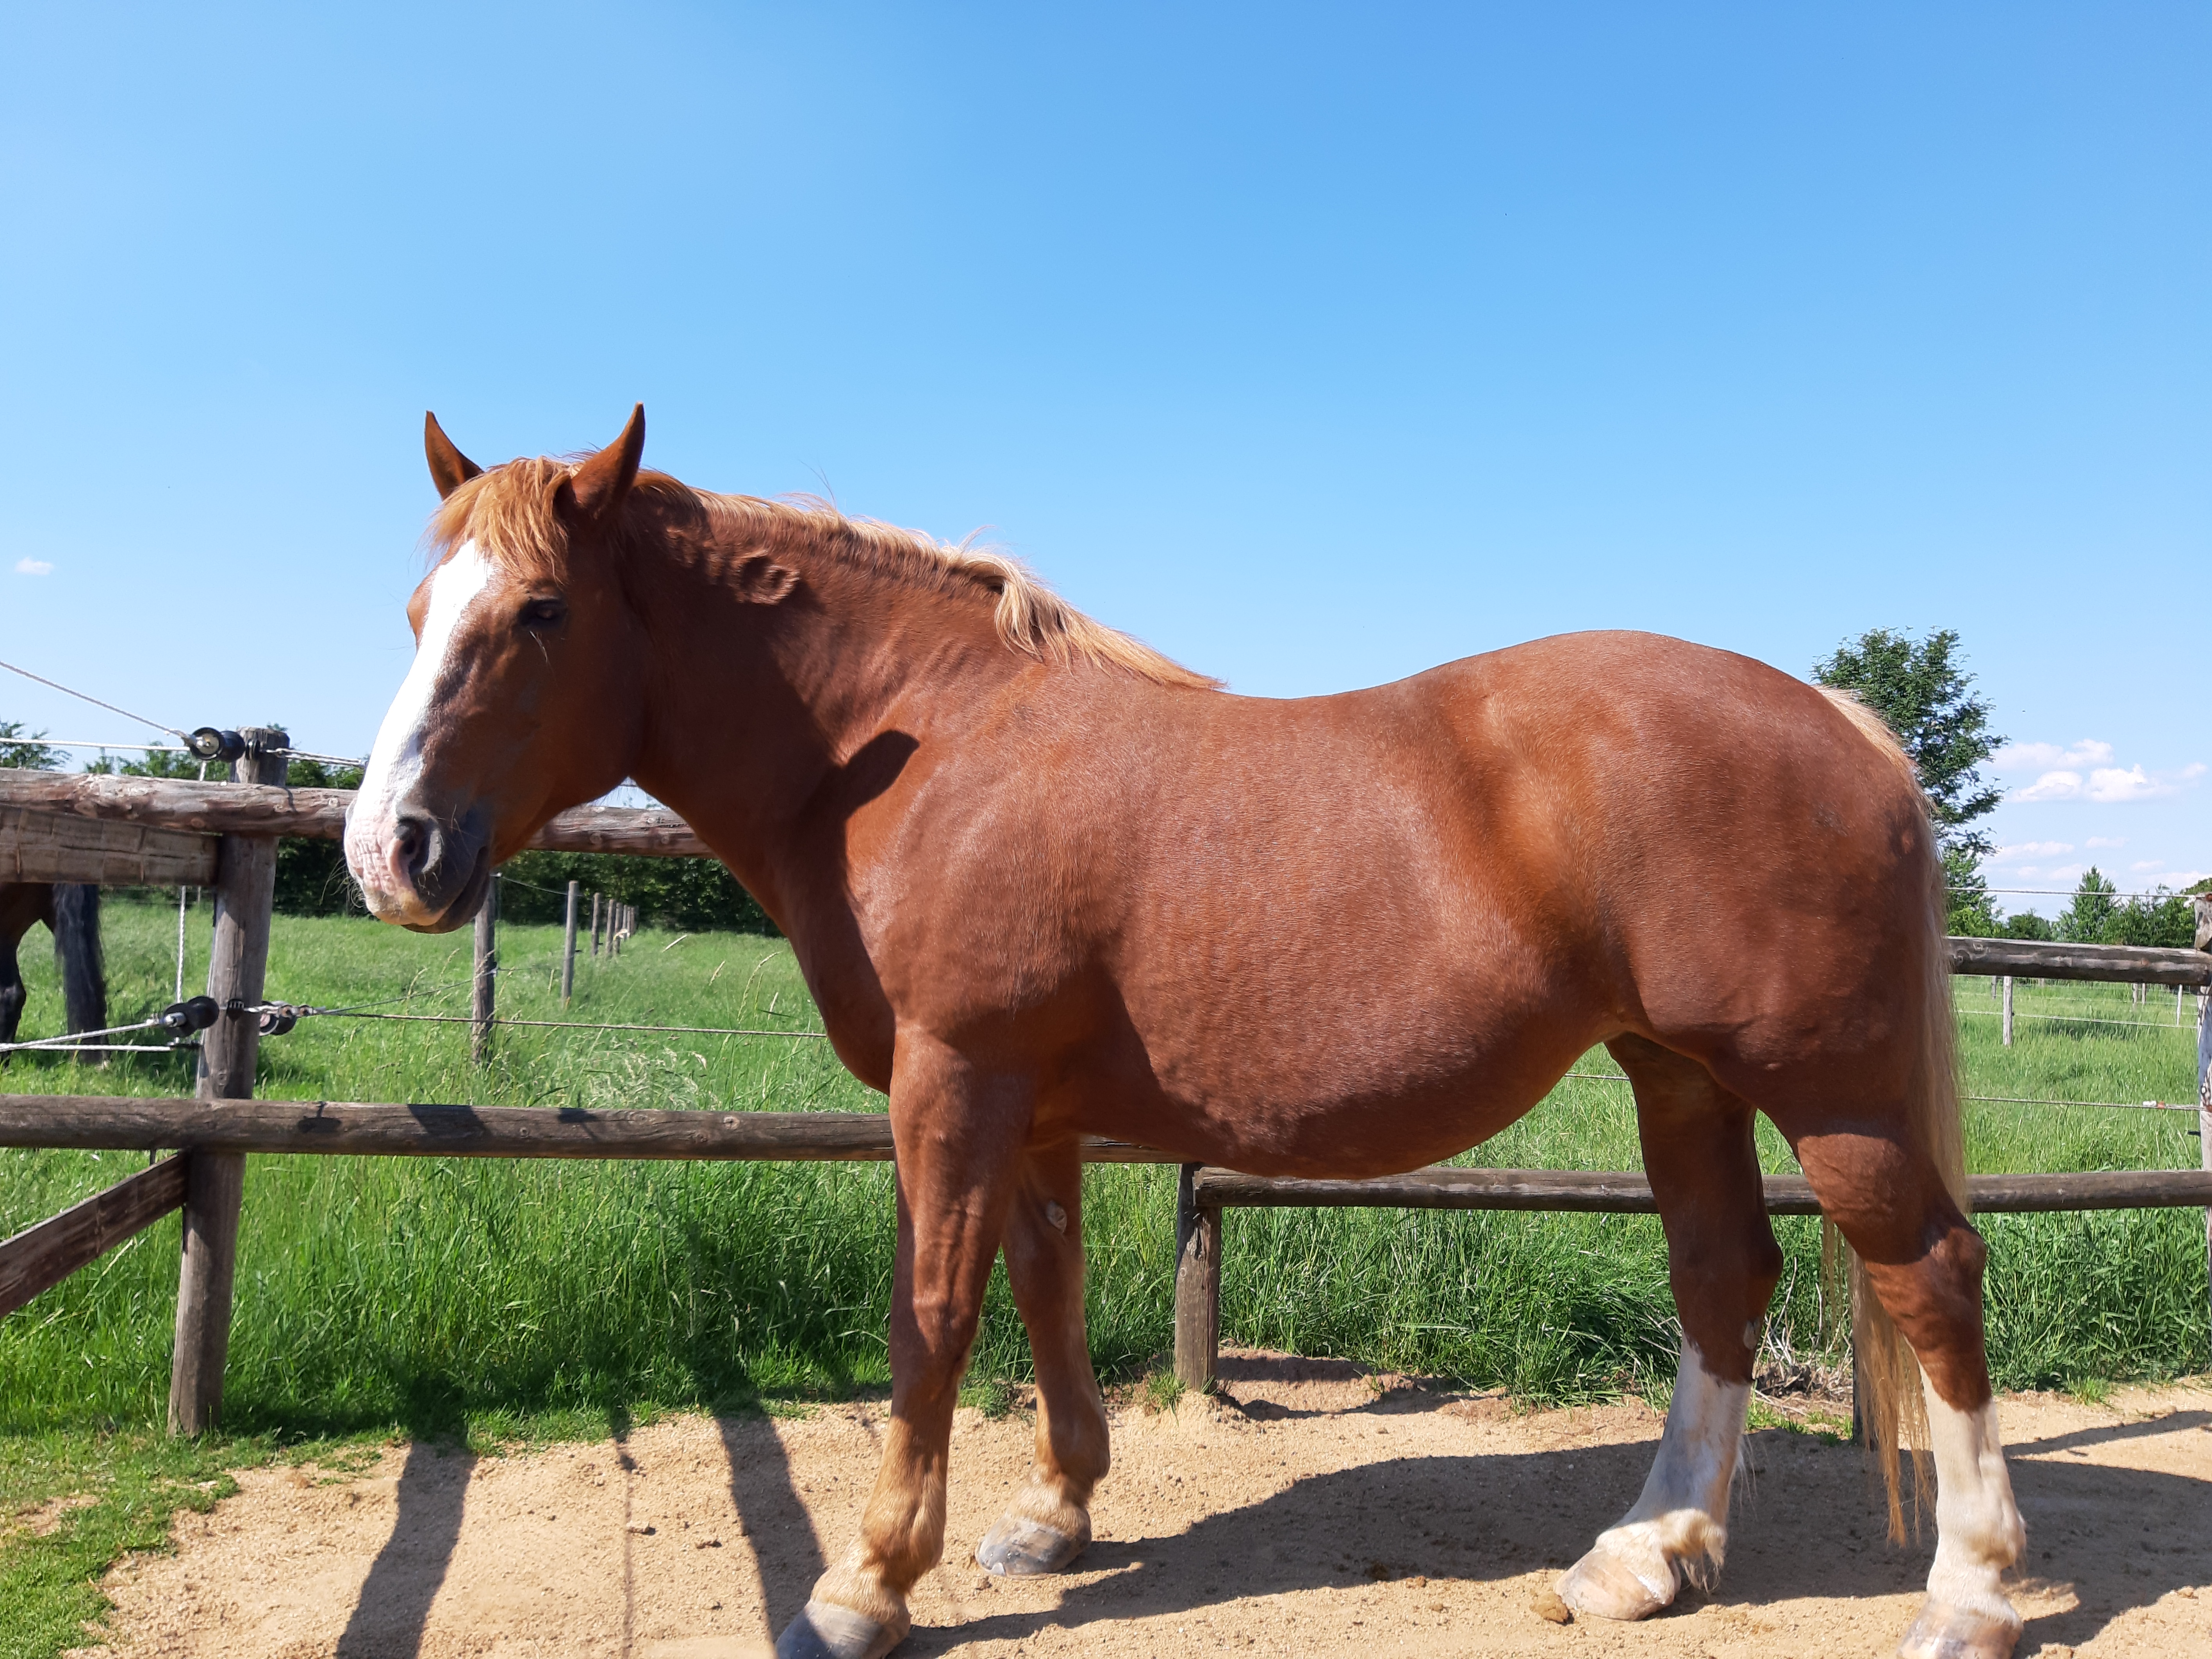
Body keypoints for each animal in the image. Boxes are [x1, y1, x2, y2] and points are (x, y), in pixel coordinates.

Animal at [343, 409, 2026, 1659]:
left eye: (542, 612)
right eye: (420, 613)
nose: (388, 853)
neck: (928, 752)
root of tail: (1834, 718)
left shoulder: (952, 1085)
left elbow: (932, 1316)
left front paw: (867, 1582)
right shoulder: (1025, 1110)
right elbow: (1046, 1290)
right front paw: (1052, 1518)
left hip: (1833, 1095)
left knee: (1932, 1277)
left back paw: (1970, 1590)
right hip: (1677, 1076)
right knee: (1721, 1278)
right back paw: (1648, 1553)